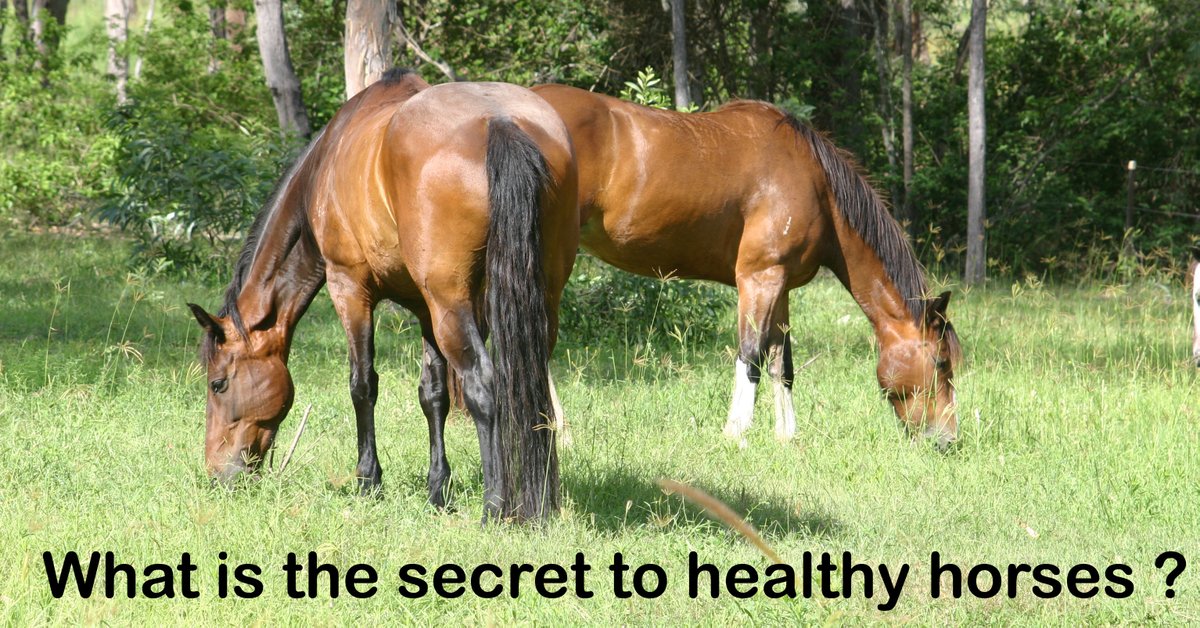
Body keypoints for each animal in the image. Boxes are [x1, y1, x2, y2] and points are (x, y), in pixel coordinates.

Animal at [187, 69, 579, 522]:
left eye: (218, 384)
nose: (216, 472)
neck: (323, 167)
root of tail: (500, 121)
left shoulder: (350, 289)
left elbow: (363, 385)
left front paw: (368, 482)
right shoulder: (424, 309)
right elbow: (433, 394)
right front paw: (437, 492)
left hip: (452, 304)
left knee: (483, 385)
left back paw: (495, 507)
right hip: (534, 298)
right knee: (532, 388)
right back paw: (542, 502)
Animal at [532, 84, 961, 449]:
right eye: (941, 362)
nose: (946, 440)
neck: (816, 185)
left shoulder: (781, 284)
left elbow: (781, 363)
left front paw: (787, 437)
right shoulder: (759, 277)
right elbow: (751, 355)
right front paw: (736, 434)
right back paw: (560, 433)